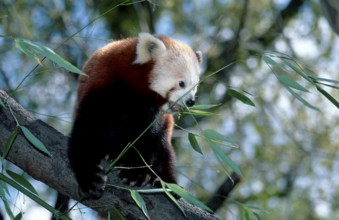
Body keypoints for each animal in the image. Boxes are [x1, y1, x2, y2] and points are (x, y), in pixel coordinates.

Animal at [67, 33, 203, 199]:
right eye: (181, 83)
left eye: (195, 86)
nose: (191, 101)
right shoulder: (103, 86)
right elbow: (88, 129)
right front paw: (91, 179)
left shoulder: (153, 115)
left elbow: (146, 140)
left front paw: (135, 172)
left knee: (165, 154)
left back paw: (168, 182)